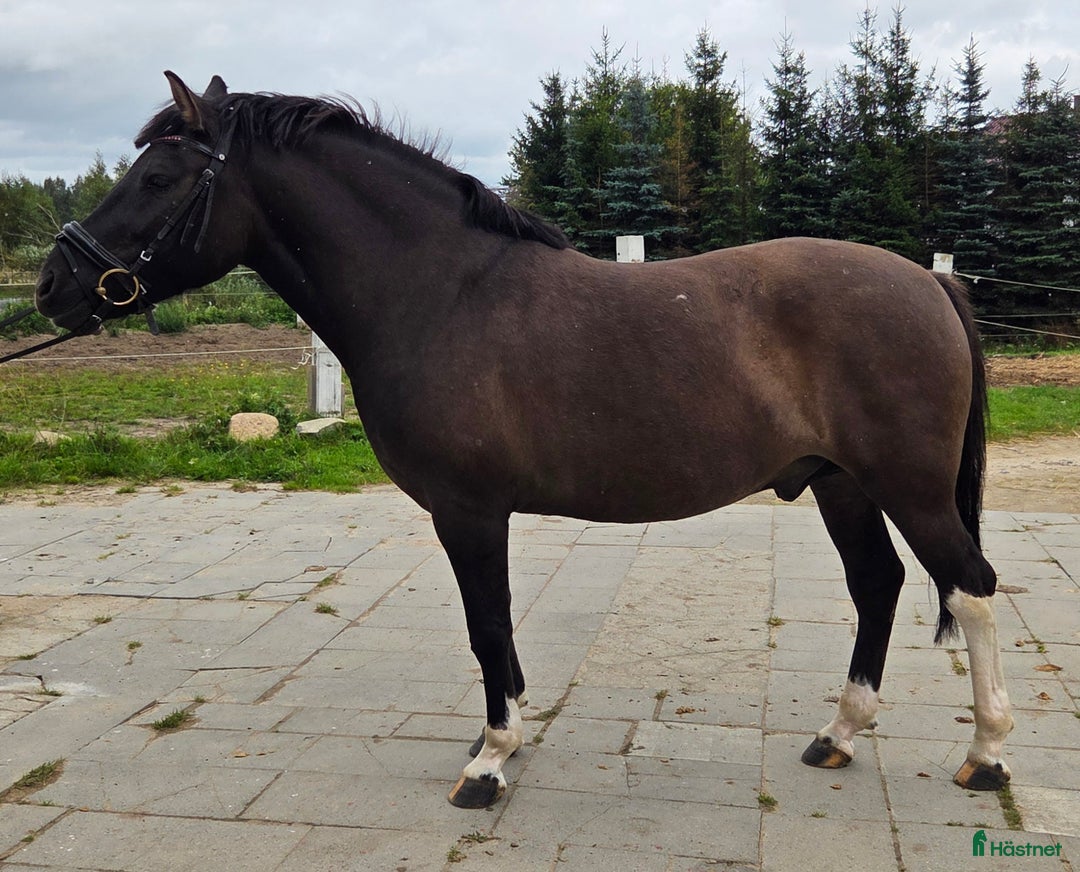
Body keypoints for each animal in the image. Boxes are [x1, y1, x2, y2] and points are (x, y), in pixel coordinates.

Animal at [33, 72, 1013, 808]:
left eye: (159, 180)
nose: (53, 285)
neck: (439, 293)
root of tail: (930, 285)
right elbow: (492, 629)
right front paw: (500, 742)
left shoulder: (468, 511)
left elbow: (487, 624)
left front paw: (490, 760)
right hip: (840, 481)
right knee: (879, 586)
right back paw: (838, 734)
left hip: (908, 486)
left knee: (969, 588)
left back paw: (988, 754)